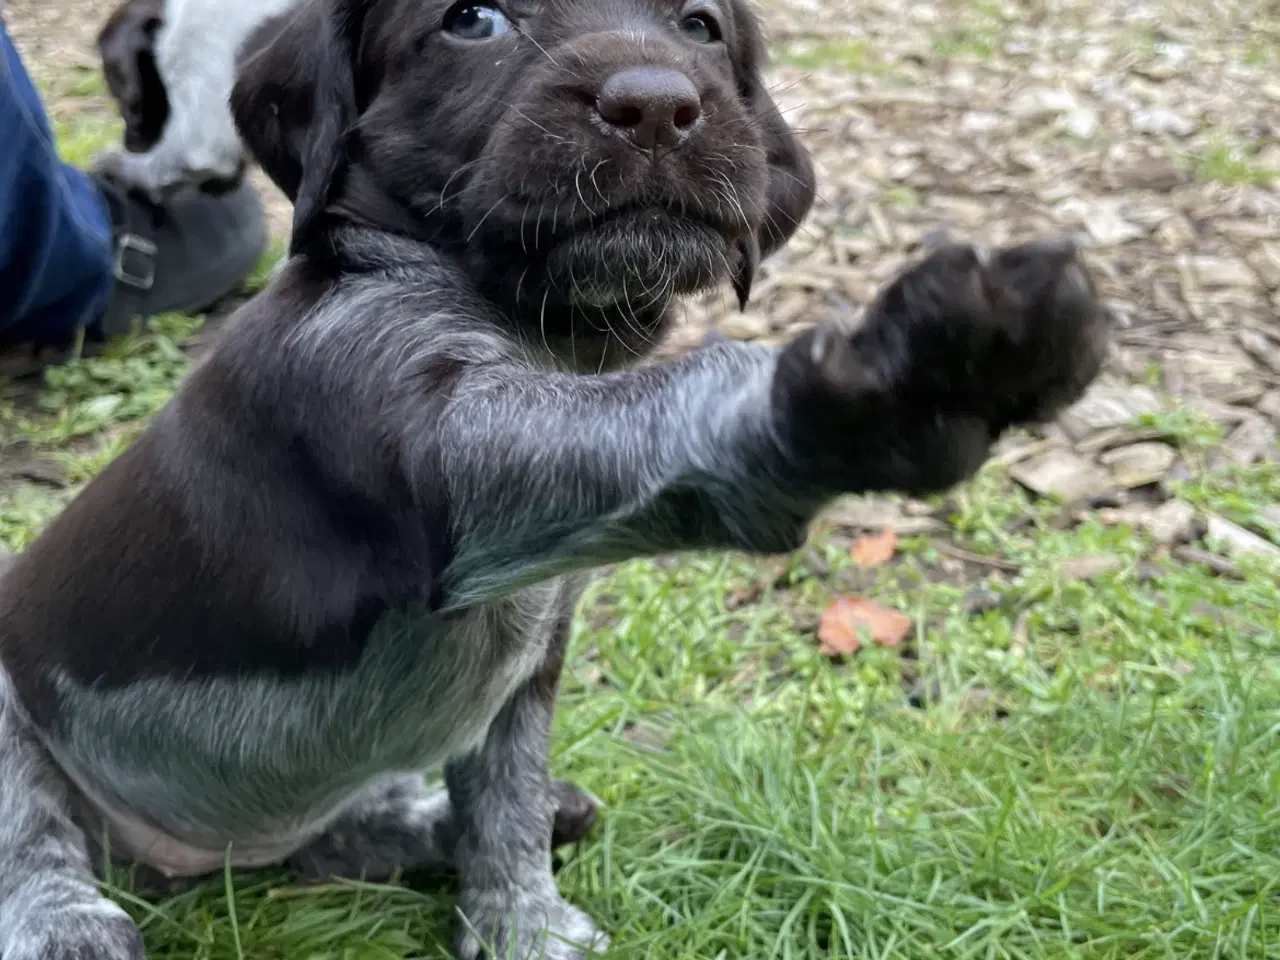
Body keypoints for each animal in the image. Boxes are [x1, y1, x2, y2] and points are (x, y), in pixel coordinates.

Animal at [0, 1, 1105, 960]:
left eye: (699, 25)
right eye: (471, 20)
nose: (658, 106)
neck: (543, 330)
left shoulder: (530, 657)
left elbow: (507, 800)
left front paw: (517, 919)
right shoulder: (445, 446)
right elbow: (678, 401)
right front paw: (897, 379)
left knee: (327, 840)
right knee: (34, 834)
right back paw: (67, 921)